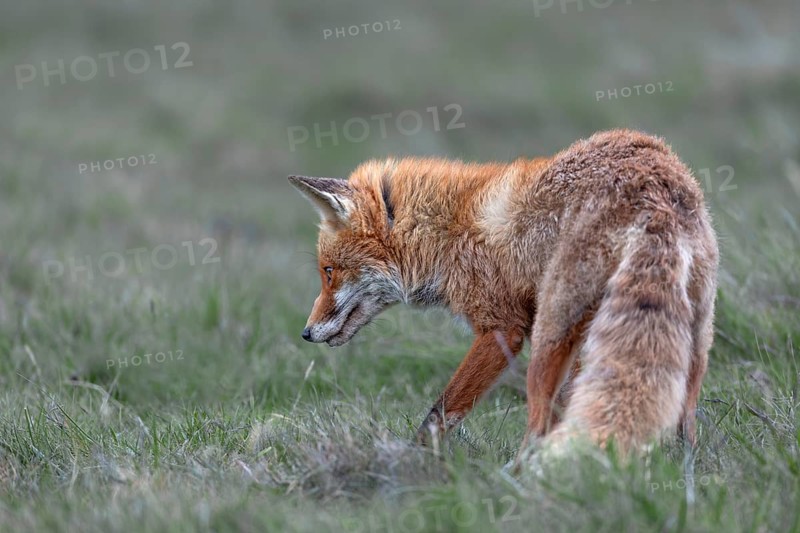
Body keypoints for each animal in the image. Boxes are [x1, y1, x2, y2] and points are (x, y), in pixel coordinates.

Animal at [289, 129, 718, 457]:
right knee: (684, 421)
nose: (306, 333)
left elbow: (442, 410)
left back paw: (519, 475)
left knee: (538, 419)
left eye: (328, 272)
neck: (446, 233)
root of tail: (655, 188)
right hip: (692, 339)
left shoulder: (501, 329)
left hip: (550, 336)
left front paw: (413, 460)